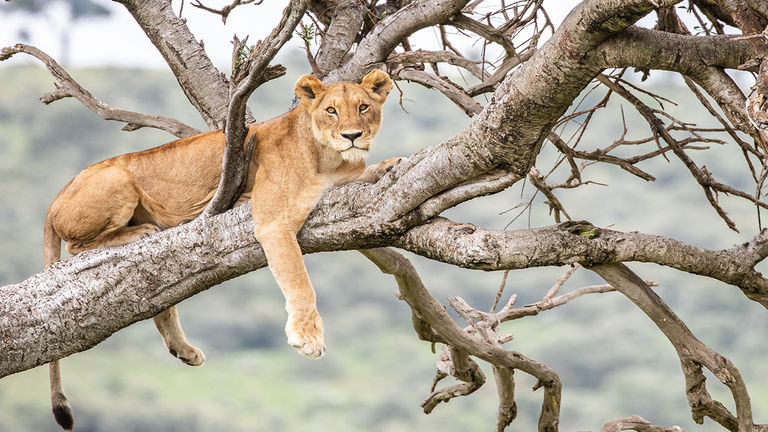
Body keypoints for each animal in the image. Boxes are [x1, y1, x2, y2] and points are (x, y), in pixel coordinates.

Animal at [42, 69, 400, 430]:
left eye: (364, 107)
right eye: (331, 110)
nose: (352, 135)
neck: (329, 158)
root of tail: (55, 200)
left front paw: (386, 166)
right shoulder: (272, 221)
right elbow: (300, 282)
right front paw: (308, 338)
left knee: (159, 300)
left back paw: (183, 349)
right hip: (118, 177)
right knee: (76, 245)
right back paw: (137, 232)